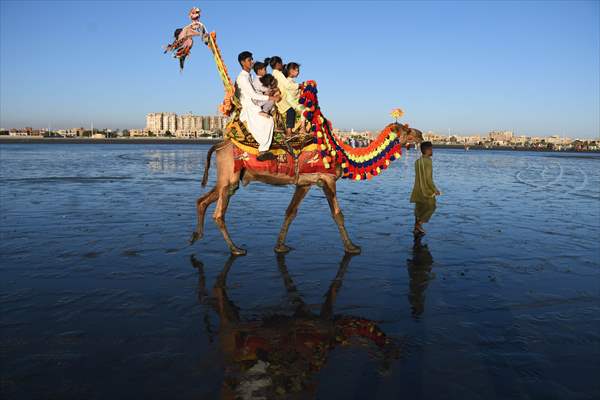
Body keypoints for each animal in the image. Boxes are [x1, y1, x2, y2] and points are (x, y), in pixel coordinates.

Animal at [173, 28, 422, 255]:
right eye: (405, 129)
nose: (420, 135)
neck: (339, 151)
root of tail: (220, 145)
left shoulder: (305, 182)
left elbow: (290, 212)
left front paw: (280, 245)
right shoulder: (327, 179)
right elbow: (337, 214)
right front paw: (352, 247)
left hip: (227, 178)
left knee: (202, 201)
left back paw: (196, 236)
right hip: (230, 176)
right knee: (219, 213)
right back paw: (235, 249)